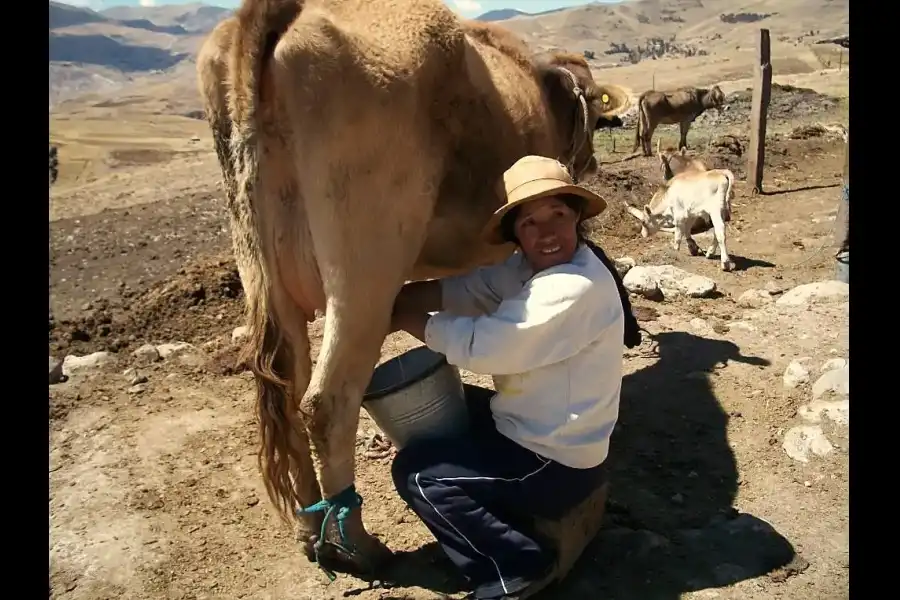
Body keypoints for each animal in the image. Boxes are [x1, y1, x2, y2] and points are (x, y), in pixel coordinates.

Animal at [197, 0, 632, 580]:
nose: (591, 163)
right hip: (364, 268)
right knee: (326, 404)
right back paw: (359, 546)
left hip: (262, 269)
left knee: (288, 397)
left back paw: (310, 533)